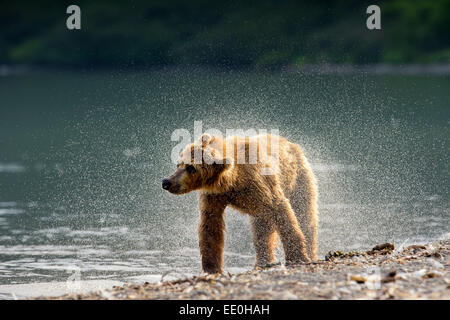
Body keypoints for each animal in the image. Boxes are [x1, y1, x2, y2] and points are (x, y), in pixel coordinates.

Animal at [163, 134, 318, 274]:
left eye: (191, 168)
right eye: (178, 163)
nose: (166, 182)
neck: (235, 179)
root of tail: (292, 144)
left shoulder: (261, 184)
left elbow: (282, 211)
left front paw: (297, 257)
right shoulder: (214, 195)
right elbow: (210, 226)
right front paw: (211, 268)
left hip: (299, 180)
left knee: (305, 217)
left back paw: (310, 253)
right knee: (261, 230)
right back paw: (263, 262)